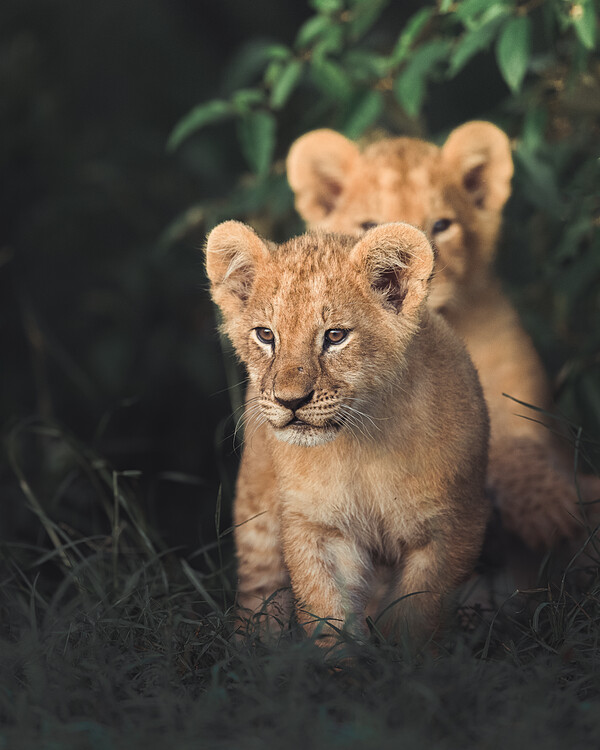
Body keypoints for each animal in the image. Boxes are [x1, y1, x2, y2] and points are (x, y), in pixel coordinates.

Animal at [205, 220, 490, 646]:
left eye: (336, 336)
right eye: (266, 335)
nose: (290, 401)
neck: (362, 445)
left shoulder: (451, 527)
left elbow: (416, 617)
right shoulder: (317, 527)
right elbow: (328, 617)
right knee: (259, 595)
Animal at [286, 121, 600, 551]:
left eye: (441, 225)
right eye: (368, 226)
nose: (405, 276)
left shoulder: (512, 391)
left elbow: (516, 445)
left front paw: (549, 508)